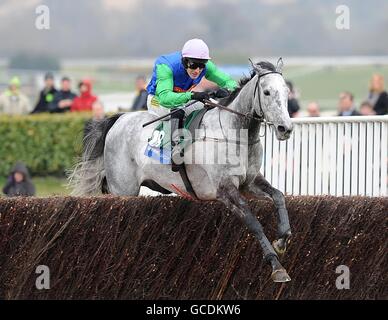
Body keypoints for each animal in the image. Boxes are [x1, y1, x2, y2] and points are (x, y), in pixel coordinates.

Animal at [69, 59, 294, 282]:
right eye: (266, 92)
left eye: (286, 91)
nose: (285, 129)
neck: (234, 134)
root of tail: (119, 118)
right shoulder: (224, 189)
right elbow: (252, 221)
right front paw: (276, 266)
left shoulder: (250, 182)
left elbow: (278, 196)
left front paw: (282, 240)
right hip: (123, 189)